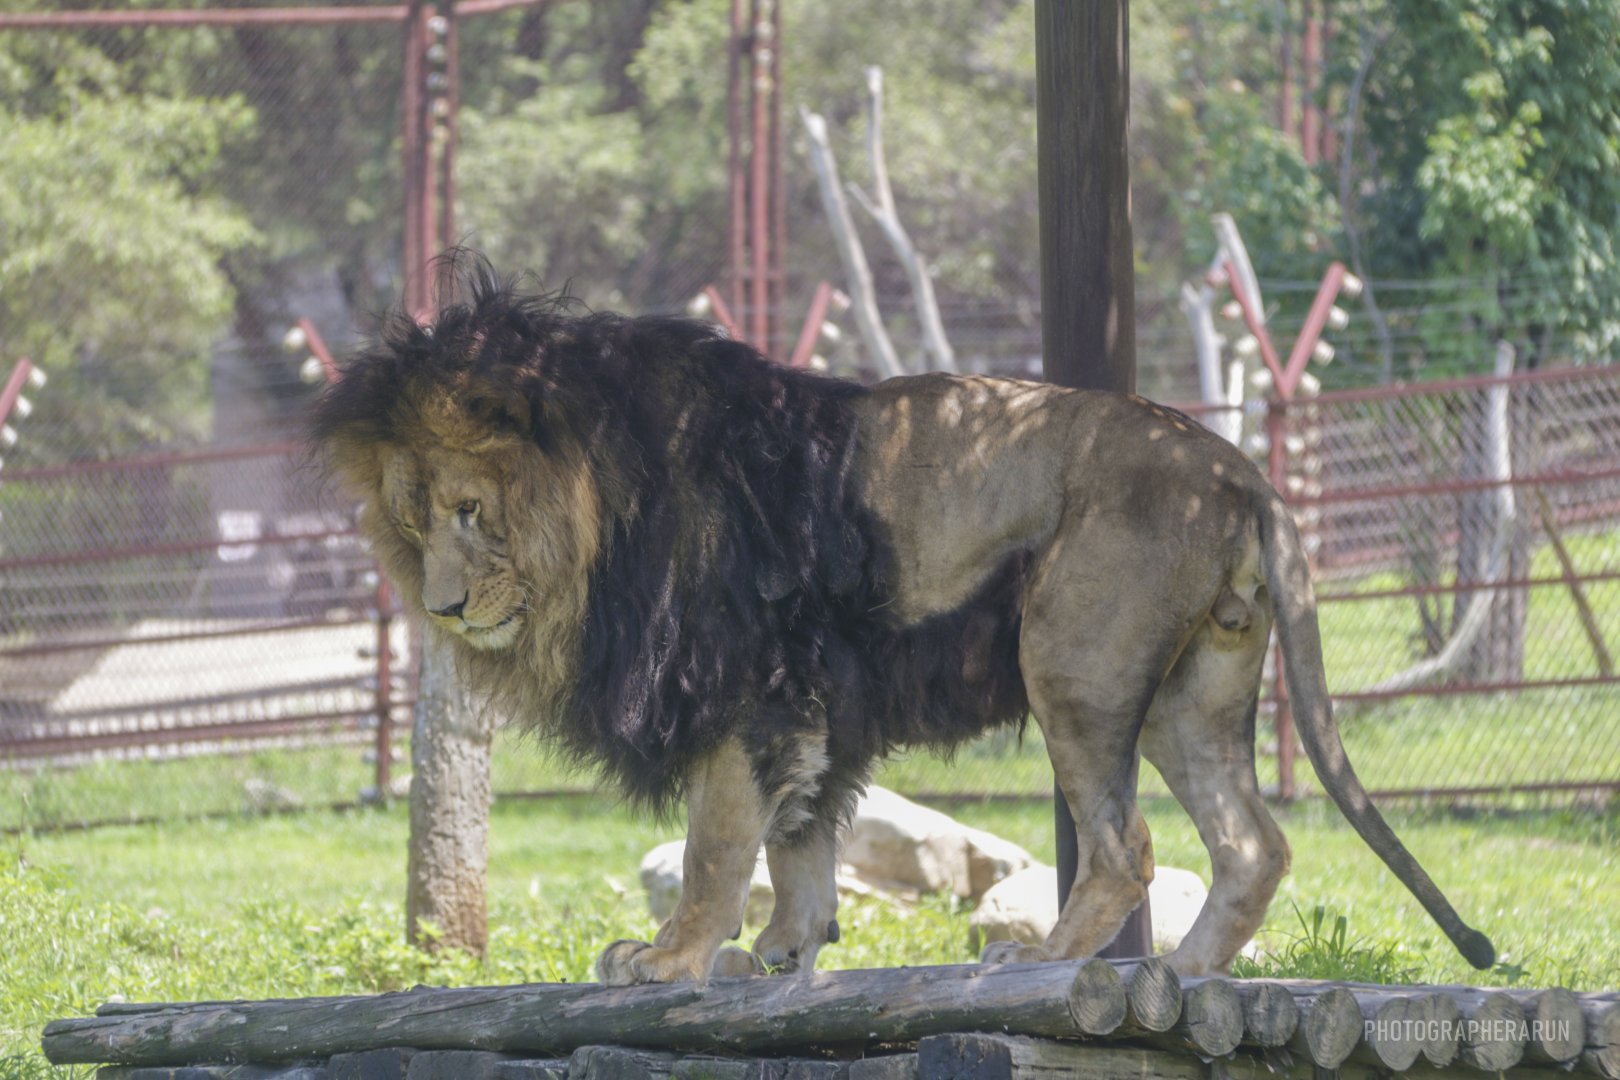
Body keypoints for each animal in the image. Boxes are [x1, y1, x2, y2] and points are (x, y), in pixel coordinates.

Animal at [313, 261, 1494, 986]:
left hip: (1072, 660)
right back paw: (1185, 972)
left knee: (1126, 848)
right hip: (1189, 693)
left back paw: (1047, 960)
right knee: (1253, 843)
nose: (441, 605)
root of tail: (1235, 466)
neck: (606, 511)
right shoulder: (813, 707)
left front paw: (670, 958)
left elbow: (715, 846)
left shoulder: (746, 689)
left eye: (473, 513)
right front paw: (779, 957)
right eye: (414, 522)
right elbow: (798, 846)